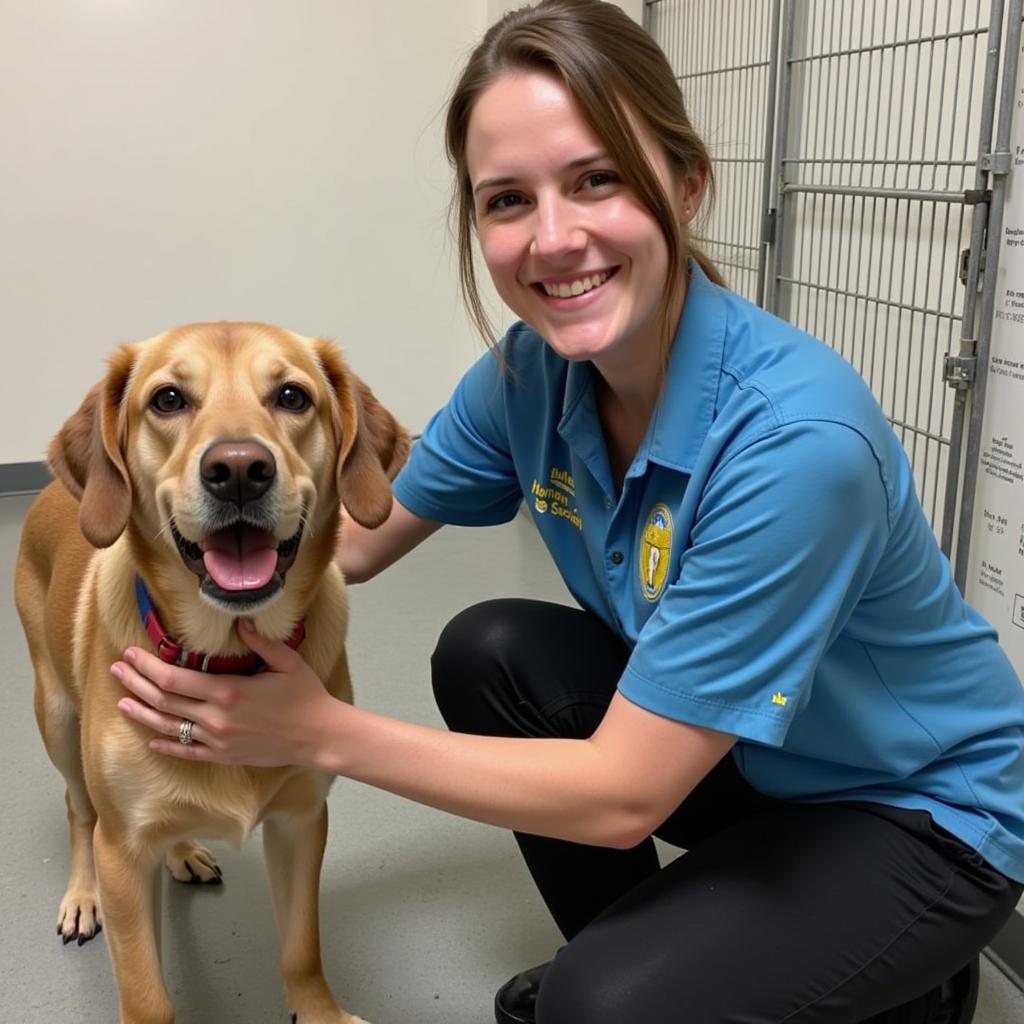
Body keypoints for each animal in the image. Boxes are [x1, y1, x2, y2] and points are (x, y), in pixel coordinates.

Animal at [14, 321, 409, 1024]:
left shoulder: (301, 820)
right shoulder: (122, 854)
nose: (239, 471)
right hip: (56, 717)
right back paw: (82, 896)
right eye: (168, 399)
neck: (227, 657)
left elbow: (301, 949)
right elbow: (147, 996)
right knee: (77, 809)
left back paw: (183, 851)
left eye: (292, 396)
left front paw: (319, 1011)